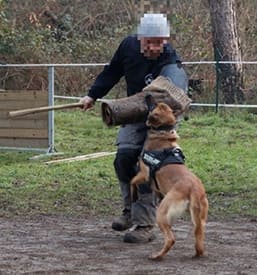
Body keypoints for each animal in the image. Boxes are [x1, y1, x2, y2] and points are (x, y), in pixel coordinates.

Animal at [130, 98, 208, 260]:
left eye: (153, 105)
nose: (147, 95)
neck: (162, 132)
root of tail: (194, 188)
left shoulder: (144, 173)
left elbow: (131, 181)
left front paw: (133, 195)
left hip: (161, 214)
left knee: (171, 239)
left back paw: (157, 256)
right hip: (200, 220)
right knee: (199, 239)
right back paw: (197, 253)